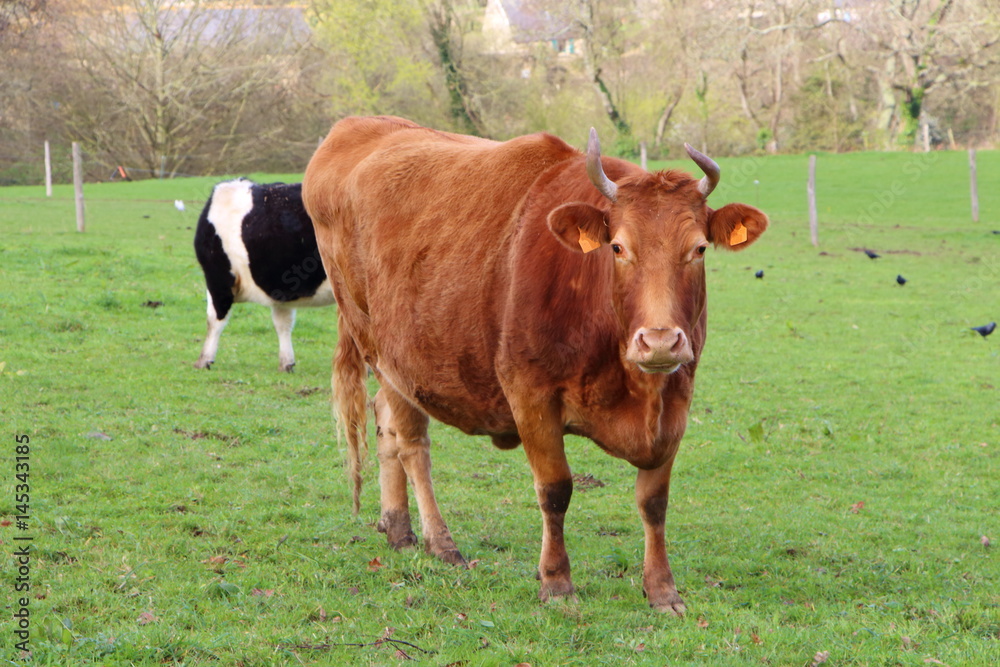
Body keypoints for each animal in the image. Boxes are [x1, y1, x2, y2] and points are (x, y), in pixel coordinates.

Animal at [191, 180, 336, 374]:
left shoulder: (218, 278)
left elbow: (214, 320)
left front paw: (204, 359)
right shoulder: (281, 287)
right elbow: (283, 323)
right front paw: (286, 363)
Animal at [300, 113, 768, 612]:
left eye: (699, 248)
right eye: (618, 248)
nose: (659, 342)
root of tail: (359, 125)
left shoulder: (677, 400)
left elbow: (654, 501)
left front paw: (662, 589)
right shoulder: (530, 395)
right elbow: (555, 489)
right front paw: (557, 582)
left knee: (385, 424)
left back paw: (399, 530)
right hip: (383, 350)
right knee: (409, 441)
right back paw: (441, 543)